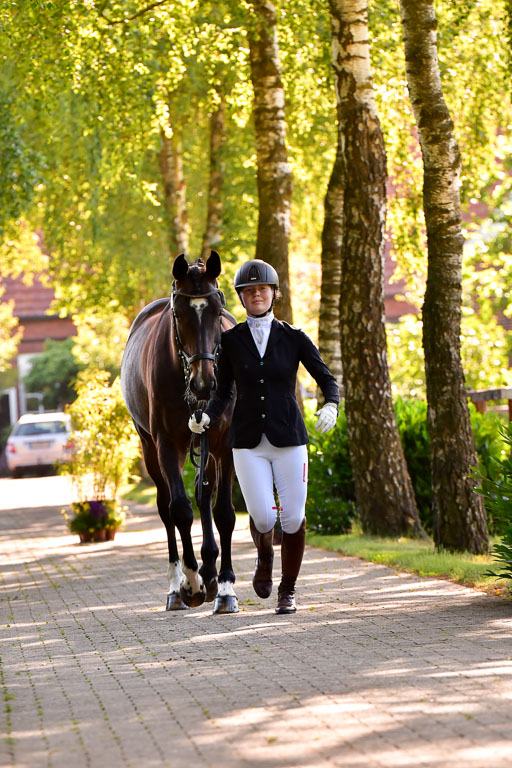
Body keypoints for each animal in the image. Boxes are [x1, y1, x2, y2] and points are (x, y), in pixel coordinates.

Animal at [120, 250, 239, 614]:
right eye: (179, 313)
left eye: (217, 309)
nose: (204, 383)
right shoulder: (166, 445)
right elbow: (180, 510)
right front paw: (191, 582)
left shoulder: (224, 444)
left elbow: (223, 513)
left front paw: (224, 587)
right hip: (149, 448)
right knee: (165, 507)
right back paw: (178, 586)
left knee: (204, 495)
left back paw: (211, 571)